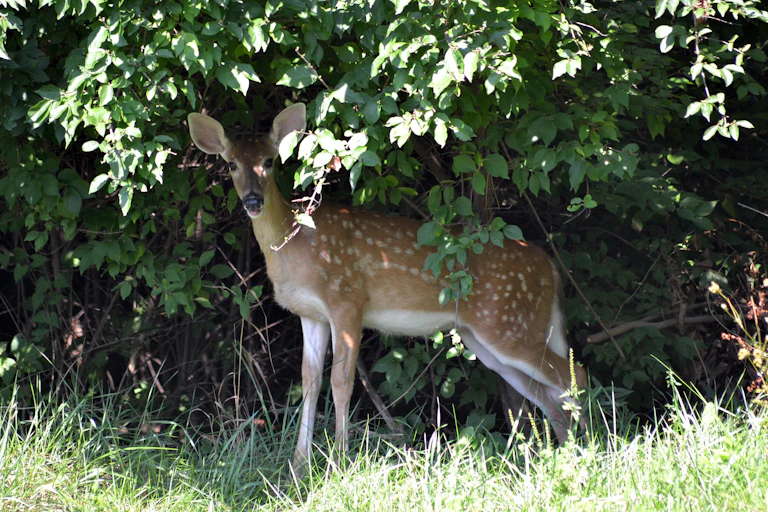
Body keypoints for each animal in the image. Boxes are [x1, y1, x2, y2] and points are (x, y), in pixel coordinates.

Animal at [187, 102, 587, 469]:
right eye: (231, 164)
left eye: (269, 162)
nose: (253, 200)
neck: (296, 244)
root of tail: (550, 268)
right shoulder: (311, 314)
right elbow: (309, 382)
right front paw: (300, 464)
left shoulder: (347, 299)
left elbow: (341, 382)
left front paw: (338, 461)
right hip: (484, 338)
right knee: (549, 395)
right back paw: (563, 456)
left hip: (507, 323)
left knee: (573, 375)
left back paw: (591, 455)